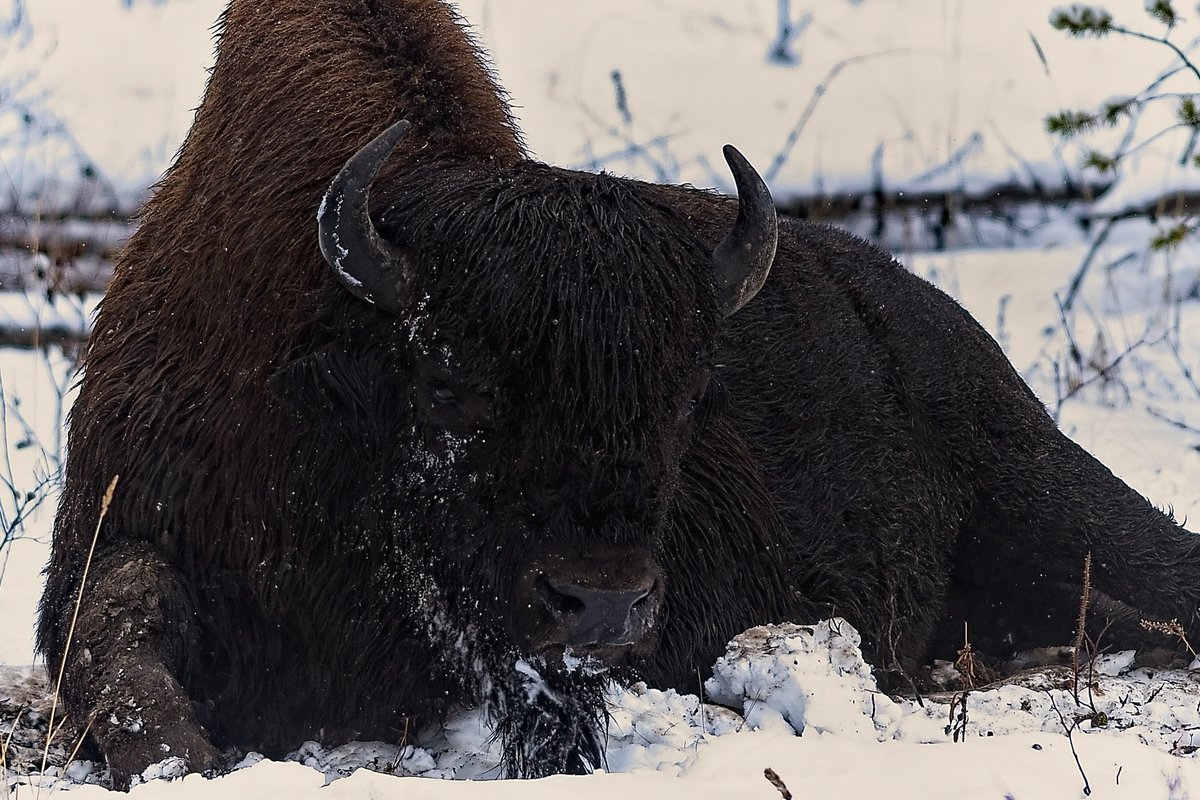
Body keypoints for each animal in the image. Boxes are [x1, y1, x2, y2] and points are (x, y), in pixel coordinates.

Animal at [39, 0, 1200, 787]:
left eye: (686, 400)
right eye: (451, 383)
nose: (599, 602)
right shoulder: (121, 524)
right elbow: (108, 636)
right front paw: (190, 758)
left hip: (1061, 502)